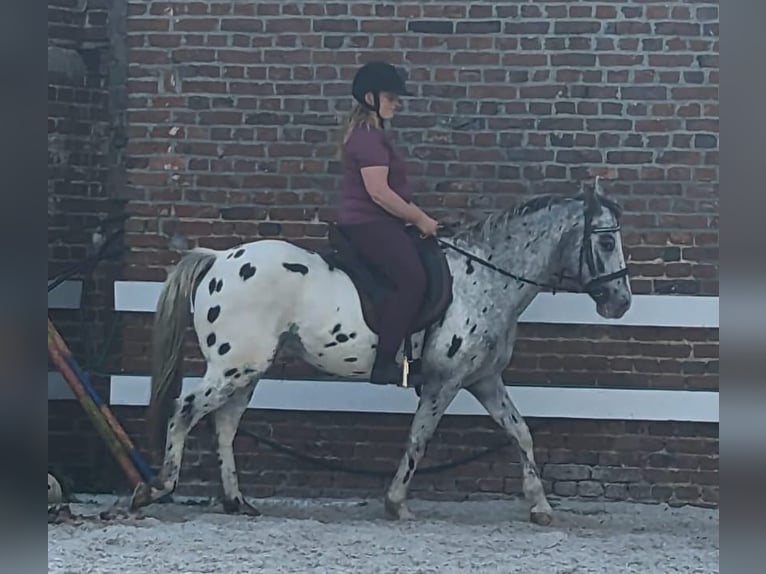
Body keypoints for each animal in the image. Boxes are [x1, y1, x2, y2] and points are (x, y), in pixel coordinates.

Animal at [134, 180, 636, 528]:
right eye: (606, 241)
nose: (621, 303)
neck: (485, 279)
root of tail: (219, 258)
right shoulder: (445, 382)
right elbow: (419, 438)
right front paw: (396, 504)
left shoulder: (483, 380)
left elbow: (521, 433)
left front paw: (540, 507)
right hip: (233, 366)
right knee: (186, 410)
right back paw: (157, 489)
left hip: (245, 368)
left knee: (224, 424)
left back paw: (236, 501)